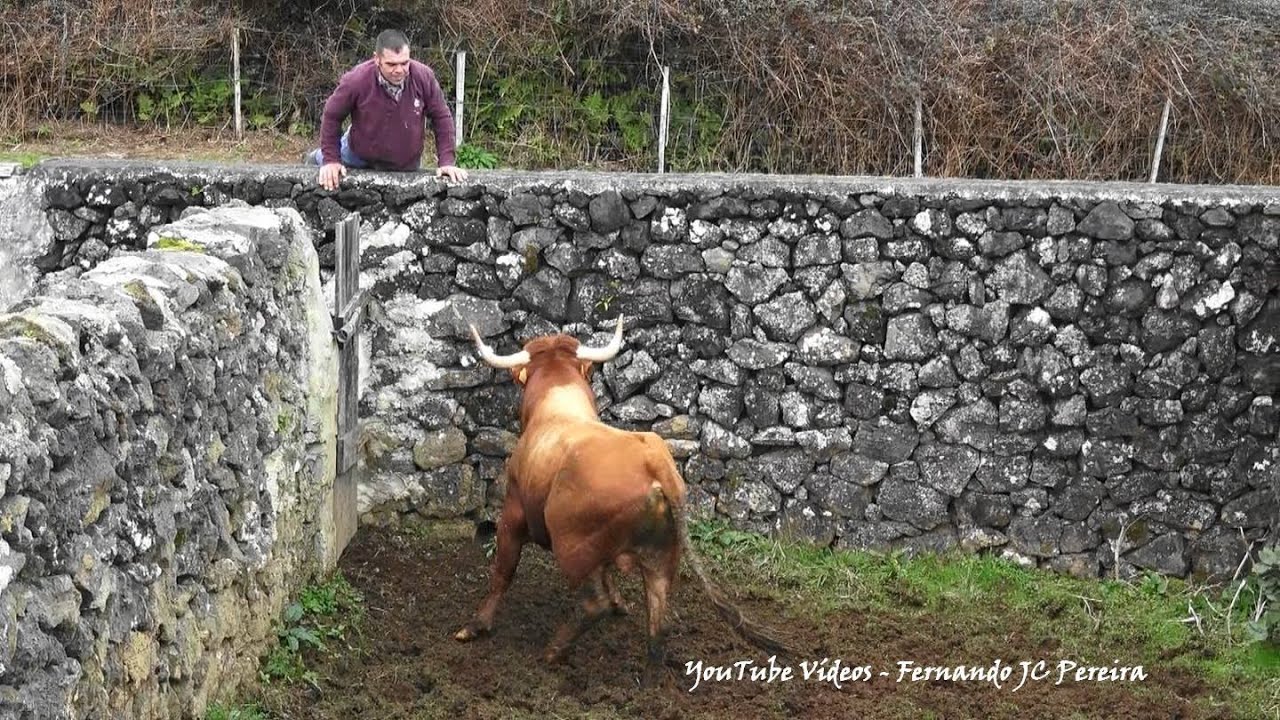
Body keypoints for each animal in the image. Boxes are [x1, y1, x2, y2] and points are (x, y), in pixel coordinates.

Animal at [454, 317, 787, 670]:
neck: (556, 407)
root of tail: (653, 459)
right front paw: (620, 603)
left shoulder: (513, 514)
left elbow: (503, 571)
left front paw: (476, 625)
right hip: (658, 559)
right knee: (657, 621)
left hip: (572, 547)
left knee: (593, 604)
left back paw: (553, 651)